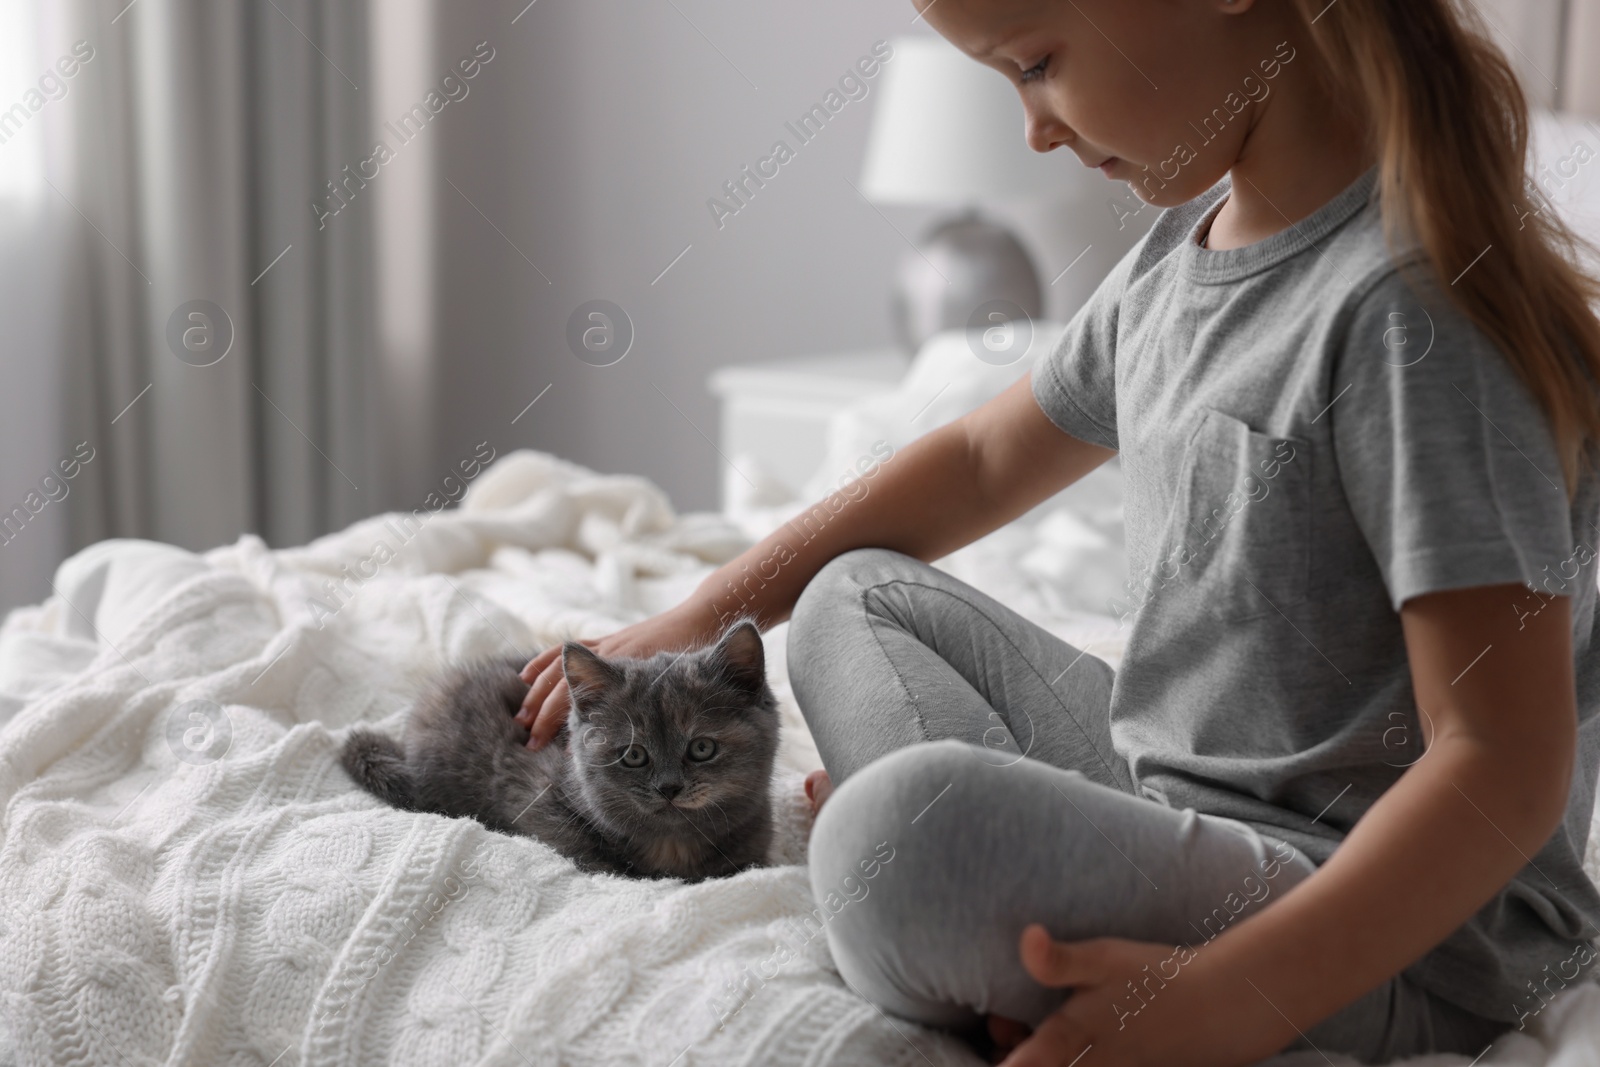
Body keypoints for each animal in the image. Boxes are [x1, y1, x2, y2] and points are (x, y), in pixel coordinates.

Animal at [340, 620, 777, 883]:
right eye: (633, 755)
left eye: (702, 747)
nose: (668, 788)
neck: (673, 843)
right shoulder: (530, 792)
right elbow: (577, 846)